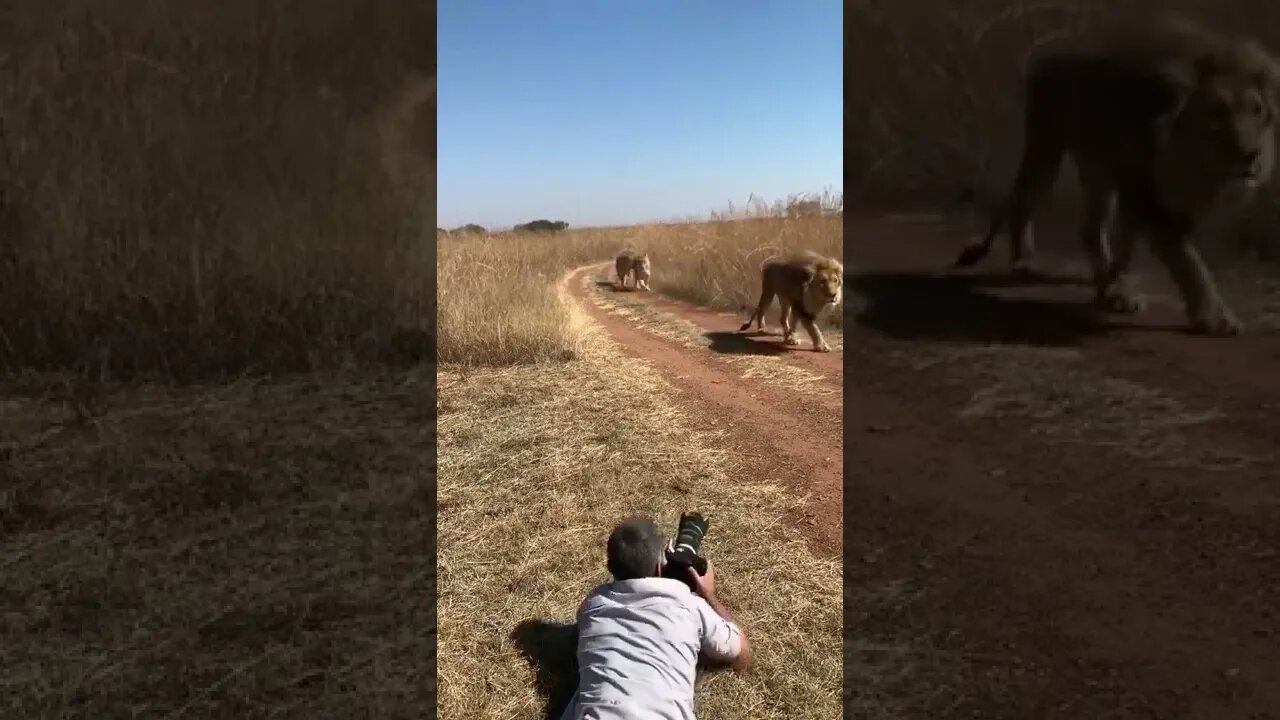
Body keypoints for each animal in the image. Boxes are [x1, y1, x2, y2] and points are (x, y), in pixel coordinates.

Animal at [952, 14, 1280, 333]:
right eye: (1215, 113)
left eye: (1257, 109)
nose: (1251, 155)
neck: (1192, 162)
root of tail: (1055, 48)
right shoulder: (1147, 197)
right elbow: (1190, 263)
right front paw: (1216, 318)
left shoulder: (1146, 194)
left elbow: (1139, 246)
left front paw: (1116, 286)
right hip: (1046, 145)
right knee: (1023, 202)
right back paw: (1028, 263)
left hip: (1099, 170)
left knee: (1092, 230)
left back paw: (1108, 284)